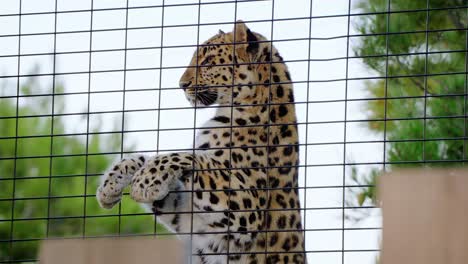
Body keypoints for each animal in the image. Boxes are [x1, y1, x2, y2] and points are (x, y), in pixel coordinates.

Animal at [97, 19, 306, 262]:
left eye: (207, 62)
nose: (181, 84)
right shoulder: (192, 220)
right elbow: (144, 159)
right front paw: (111, 185)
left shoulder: (248, 206)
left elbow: (190, 156)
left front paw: (143, 183)